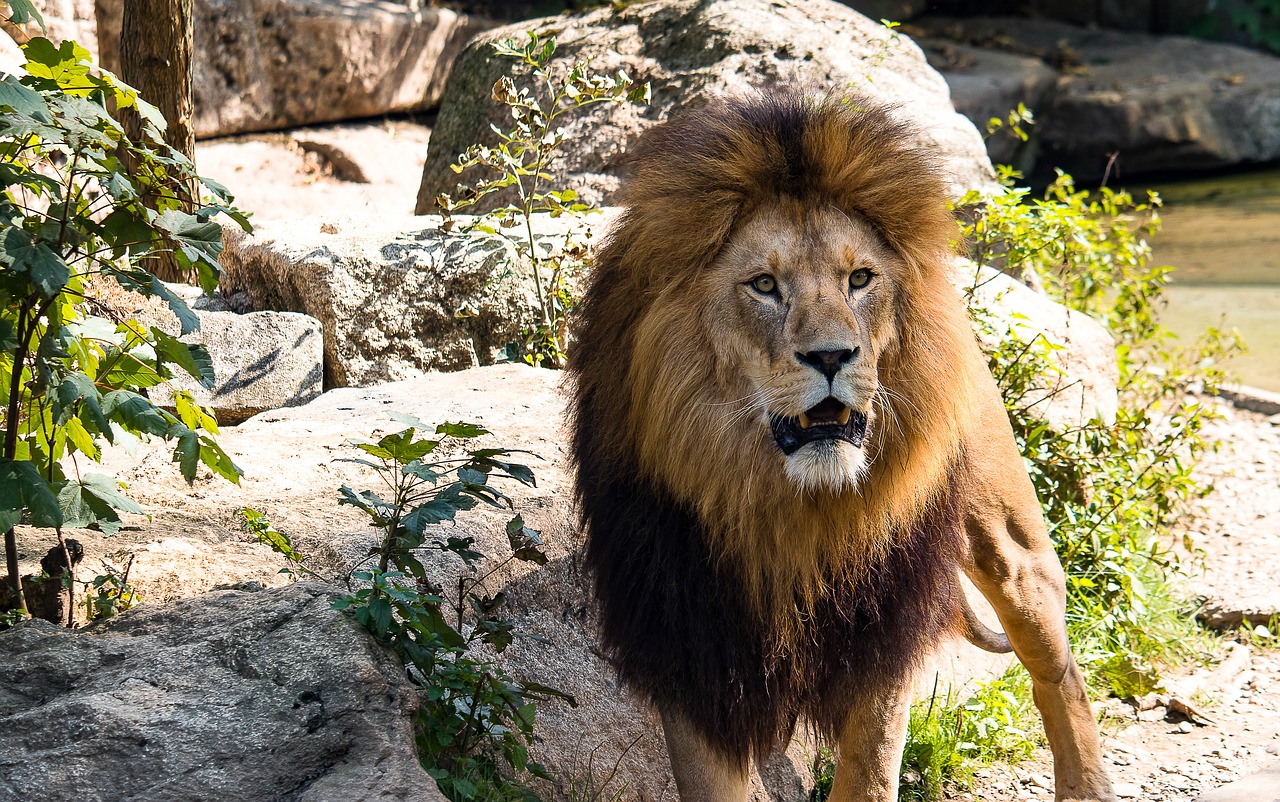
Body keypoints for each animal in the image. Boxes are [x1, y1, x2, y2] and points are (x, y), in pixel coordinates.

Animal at [565, 94, 1116, 802]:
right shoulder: (688, 641)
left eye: (859, 279)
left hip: (1014, 553)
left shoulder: (880, 630)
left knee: (1060, 668)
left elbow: (869, 773)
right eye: (764, 285)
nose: (832, 356)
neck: (787, 510)